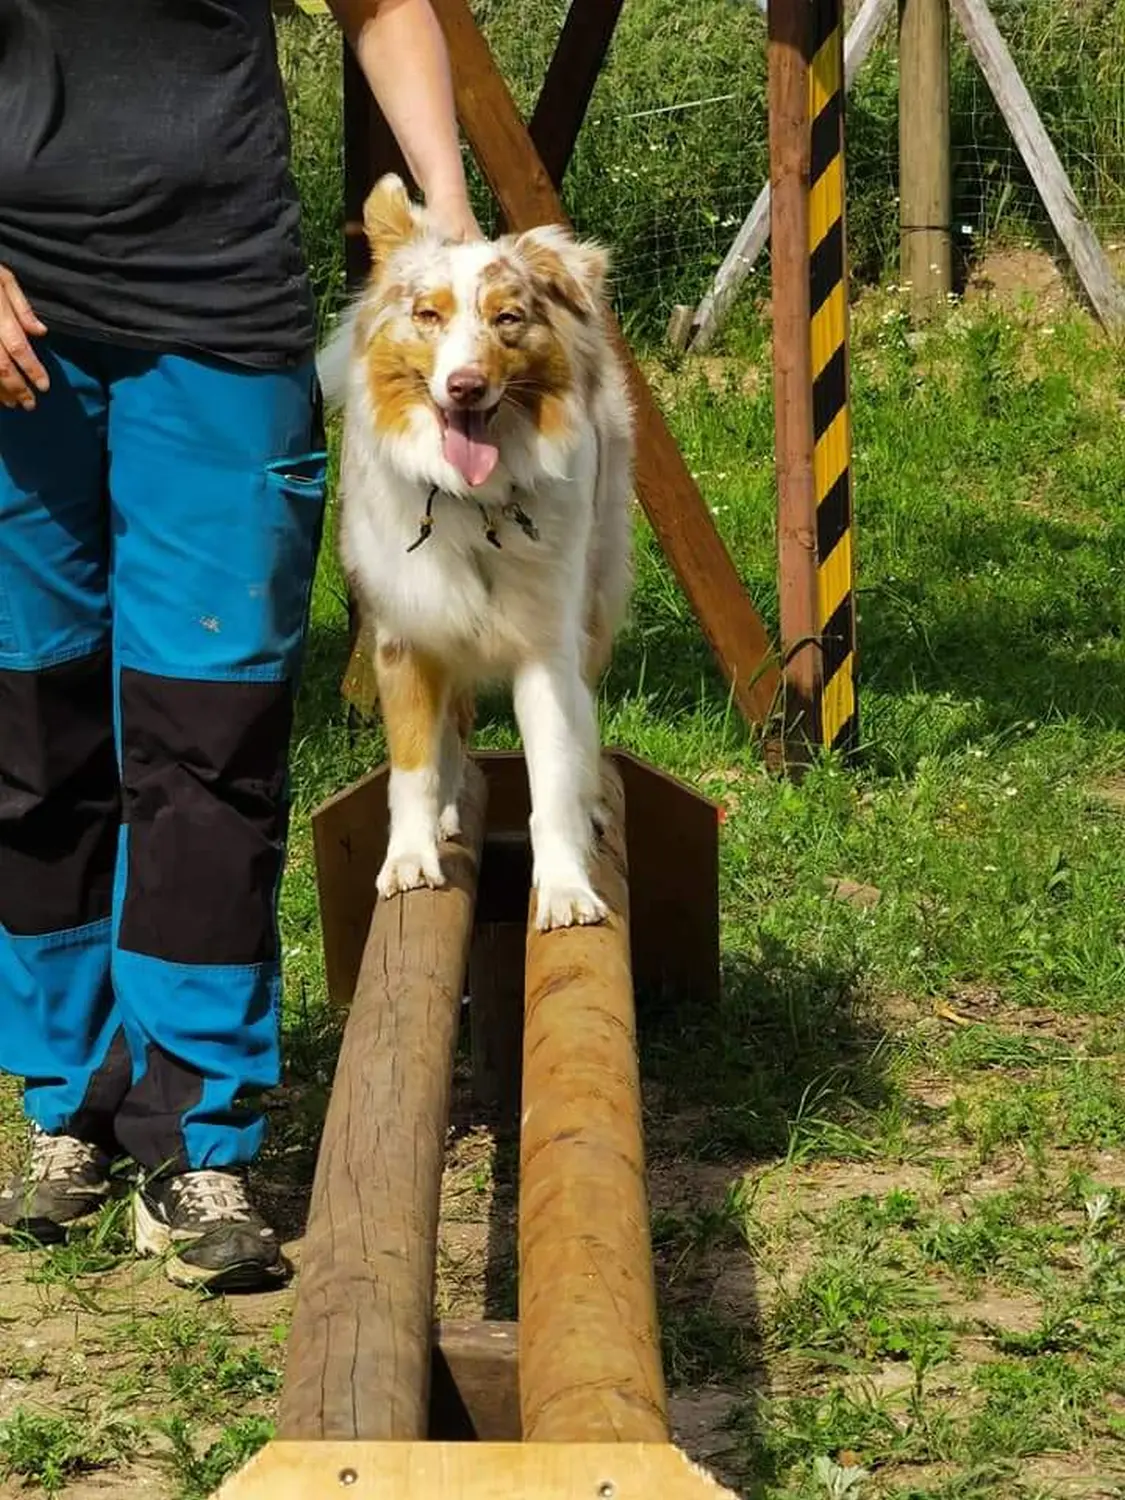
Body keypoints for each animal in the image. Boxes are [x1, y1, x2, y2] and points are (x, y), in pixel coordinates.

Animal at [319, 175, 636, 924]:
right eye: (428, 316)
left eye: (508, 319)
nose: (465, 385)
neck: (471, 503)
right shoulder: (406, 638)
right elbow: (412, 767)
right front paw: (410, 859)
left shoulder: (547, 649)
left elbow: (553, 775)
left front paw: (565, 886)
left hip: (596, 598)